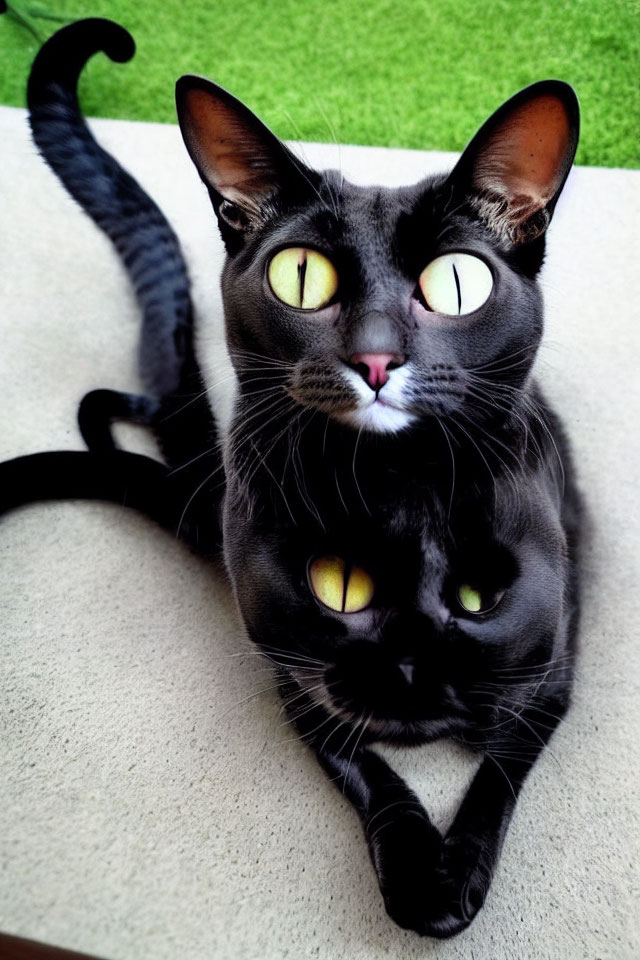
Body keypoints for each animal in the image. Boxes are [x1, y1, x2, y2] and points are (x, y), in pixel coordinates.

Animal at [1, 20, 580, 936]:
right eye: (301, 276)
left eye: (456, 282)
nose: (375, 358)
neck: (399, 479)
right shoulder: (283, 649)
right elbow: (353, 756)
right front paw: (413, 868)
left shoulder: (561, 645)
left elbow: (503, 762)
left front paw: (453, 883)